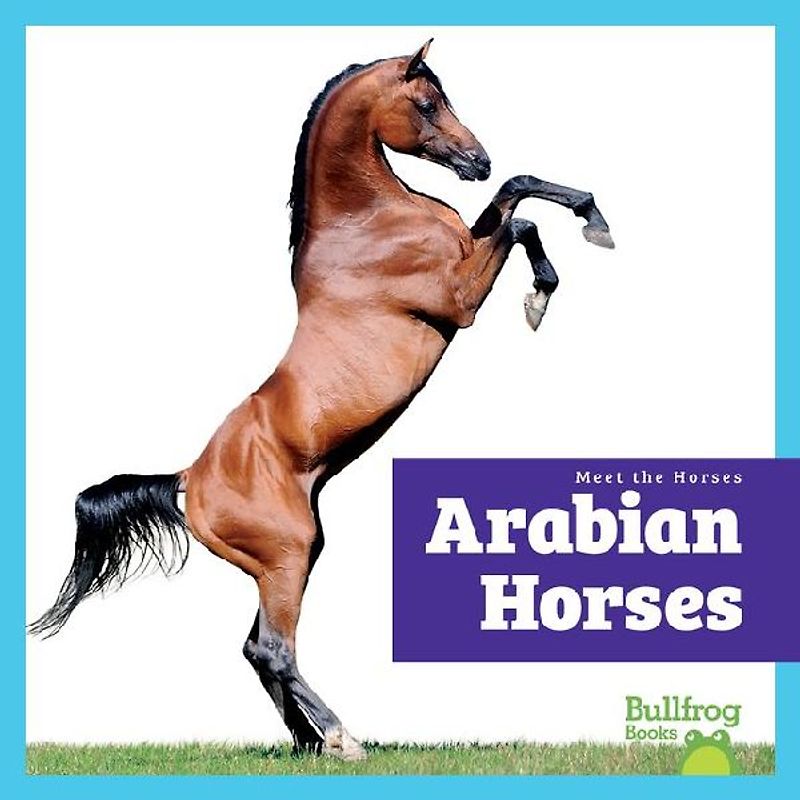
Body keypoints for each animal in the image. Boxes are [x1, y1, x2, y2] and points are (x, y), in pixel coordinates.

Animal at [30, 40, 613, 761]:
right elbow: (521, 210)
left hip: (292, 559)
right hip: (287, 555)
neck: (365, 223)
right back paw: (343, 738)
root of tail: (187, 480)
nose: (477, 160)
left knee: (255, 649)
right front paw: (552, 281)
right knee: (274, 650)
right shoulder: (460, 296)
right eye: (427, 102)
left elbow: (519, 192)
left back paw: (311, 744)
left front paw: (585, 225)